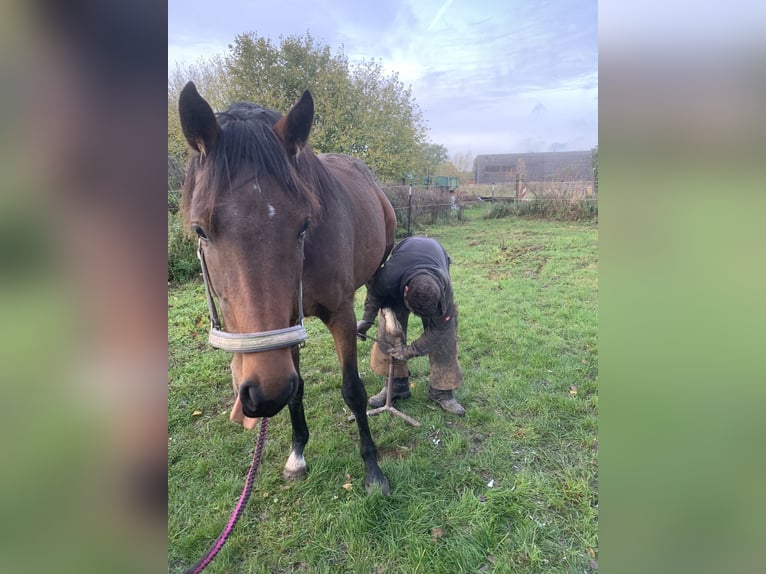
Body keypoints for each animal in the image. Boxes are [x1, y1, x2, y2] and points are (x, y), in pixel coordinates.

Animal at [178, 81, 396, 494]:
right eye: (200, 230)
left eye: (304, 224)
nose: (263, 395)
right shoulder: (286, 327)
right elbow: (298, 391)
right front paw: (297, 455)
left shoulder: (339, 313)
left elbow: (354, 390)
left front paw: (373, 470)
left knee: (380, 290)